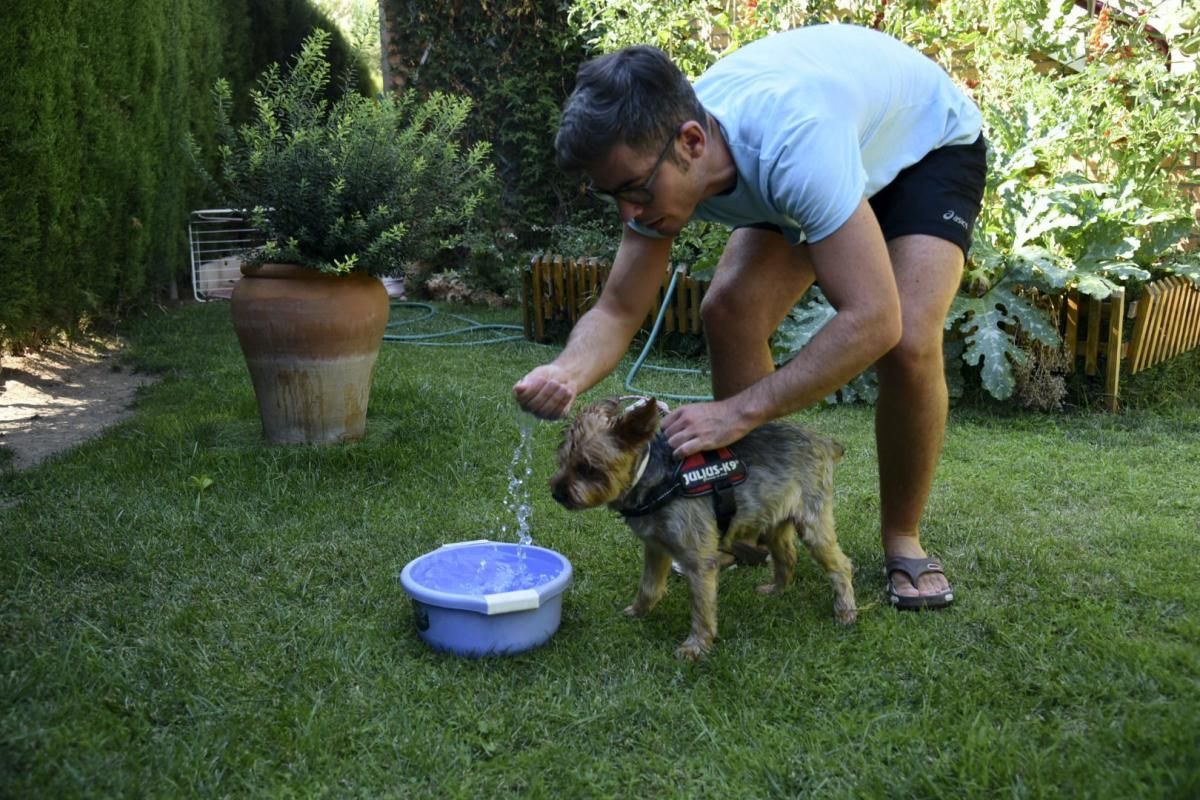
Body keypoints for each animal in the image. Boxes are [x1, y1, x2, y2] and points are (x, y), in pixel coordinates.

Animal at [552, 398, 854, 662]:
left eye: (589, 468)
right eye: (563, 461)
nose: (557, 492)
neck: (654, 479)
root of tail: (824, 443)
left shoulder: (698, 560)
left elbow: (701, 607)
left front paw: (696, 647)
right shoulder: (656, 546)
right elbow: (649, 585)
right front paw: (638, 611)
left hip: (812, 521)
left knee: (841, 565)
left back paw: (845, 611)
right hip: (773, 519)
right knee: (787, 556)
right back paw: (777, 589)